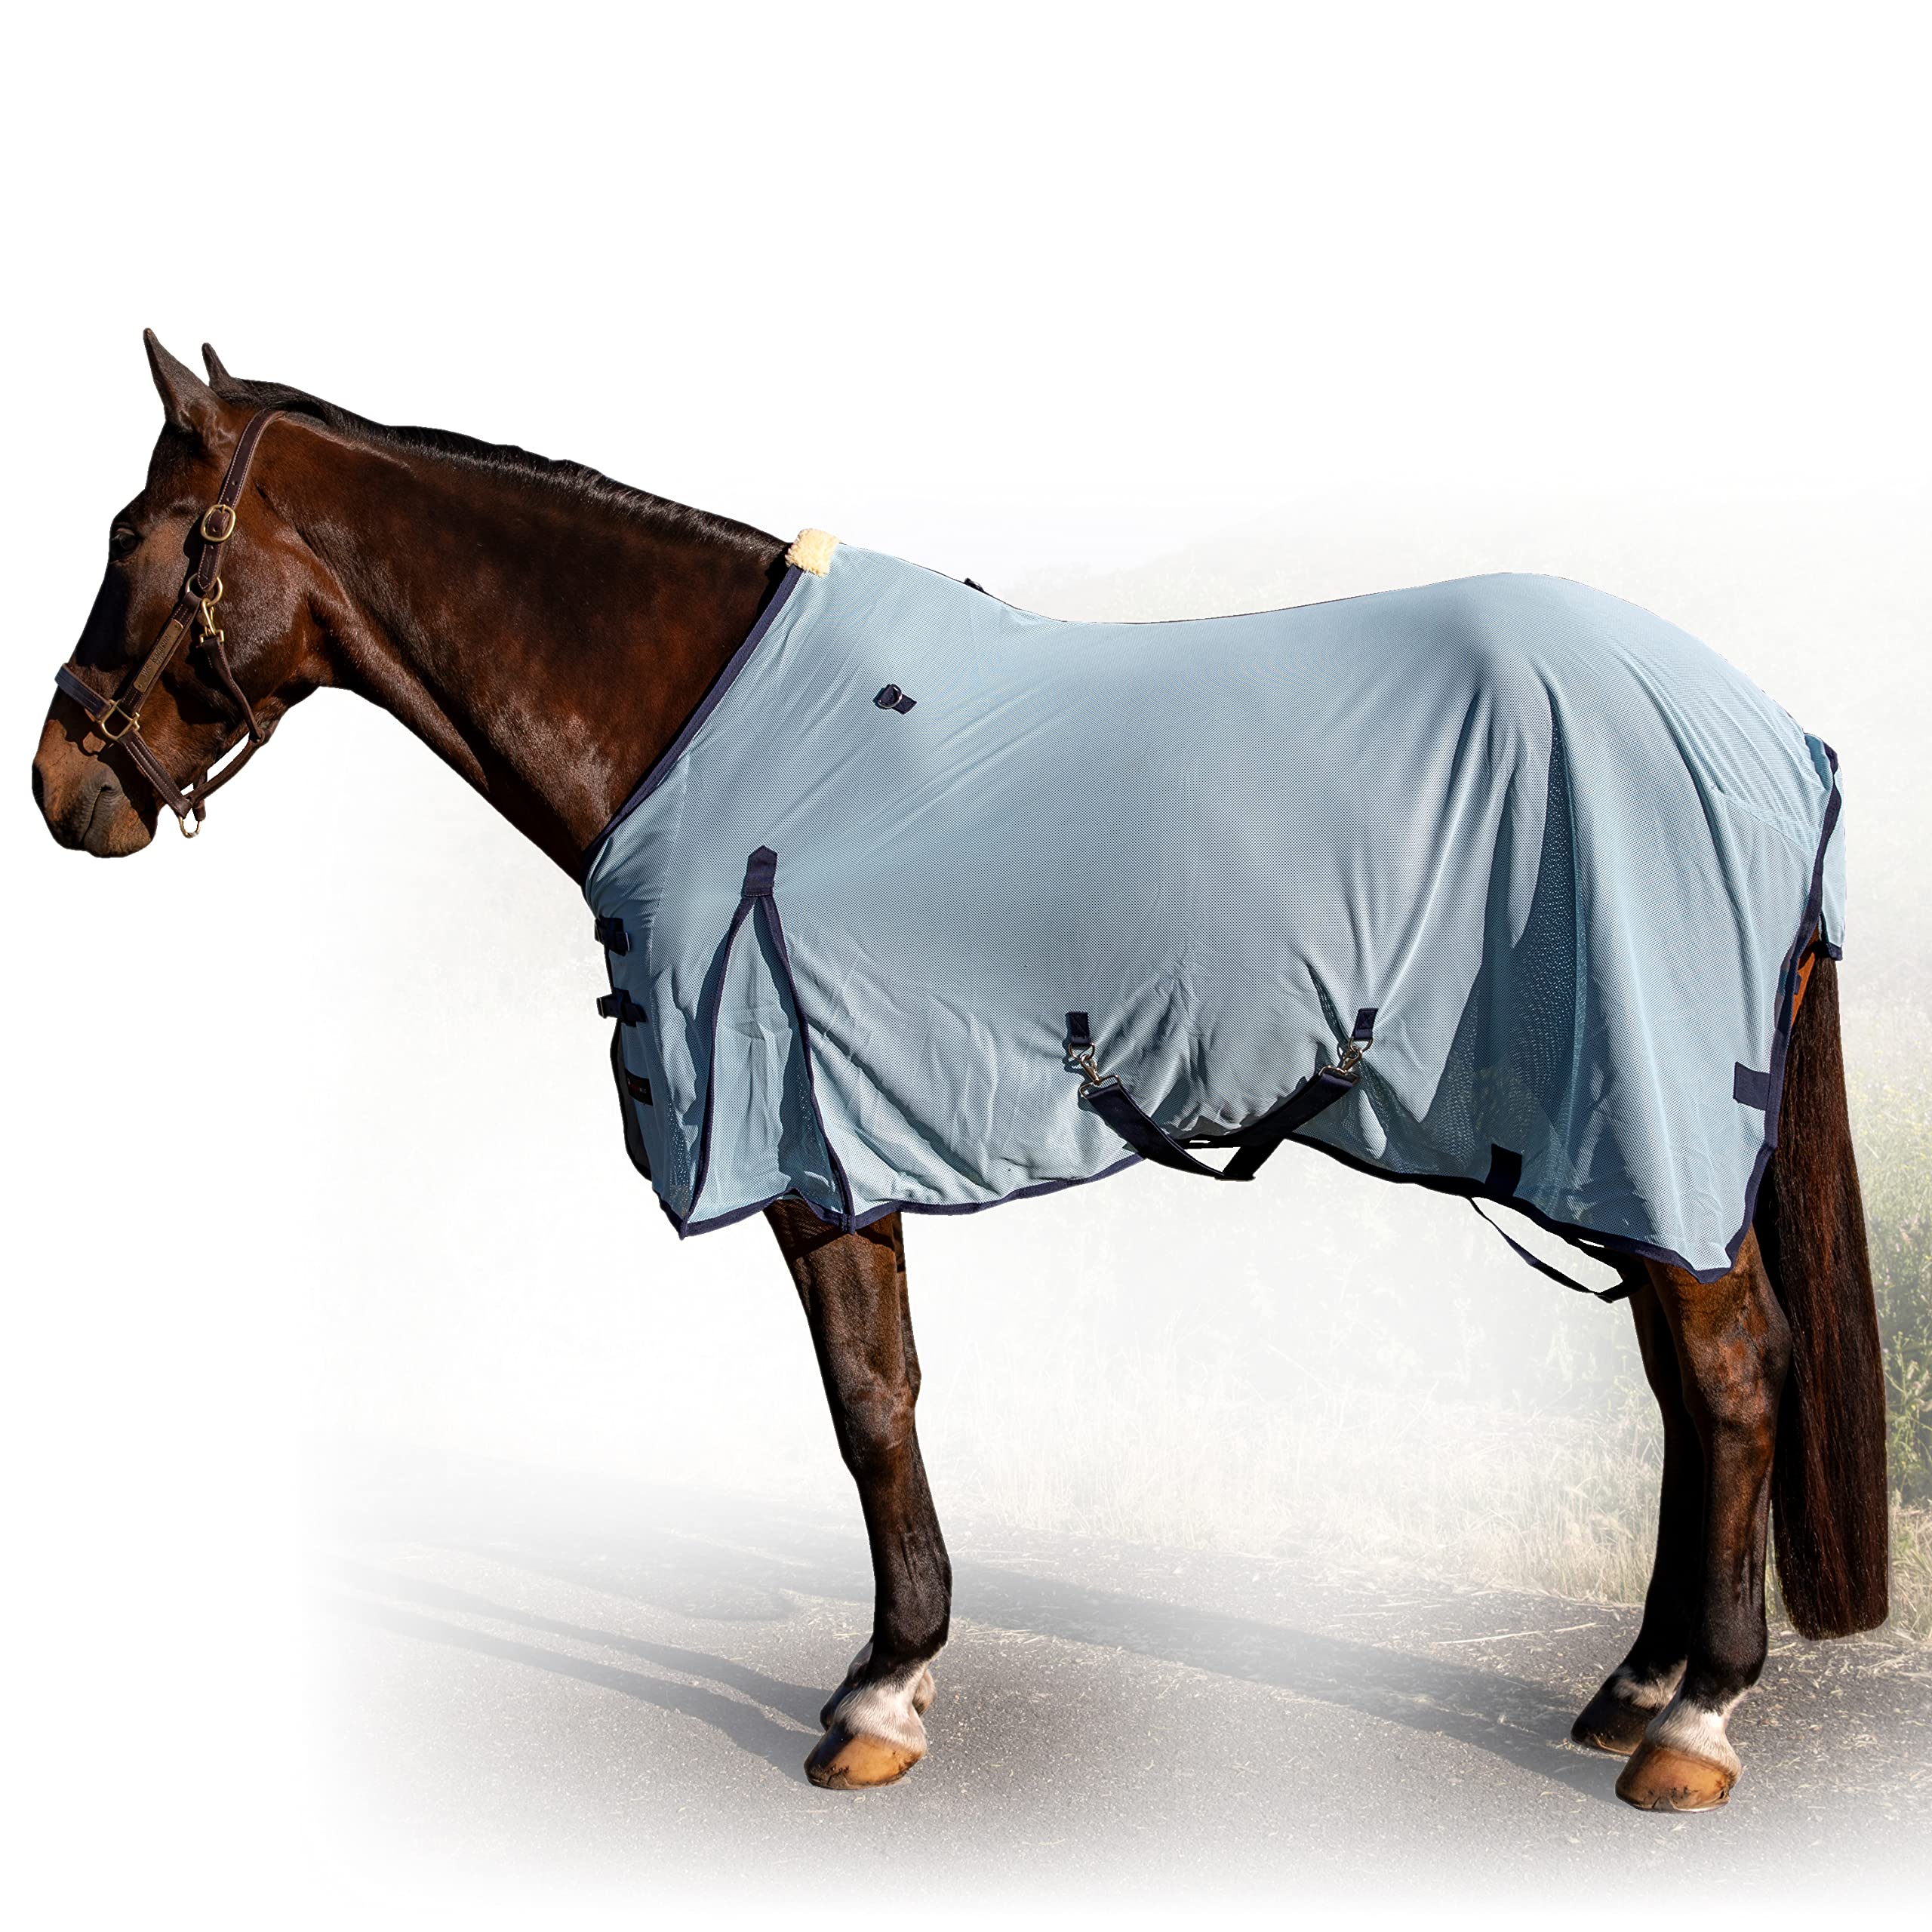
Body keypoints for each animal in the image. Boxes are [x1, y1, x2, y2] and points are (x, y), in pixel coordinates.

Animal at [33, 334, 1890, 1811]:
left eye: (129, 537)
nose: (62, 783)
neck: (714, 723)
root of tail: (1774, 732)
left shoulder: (809, 1151)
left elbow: (867, 1405)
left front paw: (879, 1689)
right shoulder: (848, 1139)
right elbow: (892, 1395)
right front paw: (899, 1668)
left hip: (1640, 1127)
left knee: (1731, 1375)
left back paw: (1696, 1724)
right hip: (1603, 1146)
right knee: (1683, 1387)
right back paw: (1638, 1685)